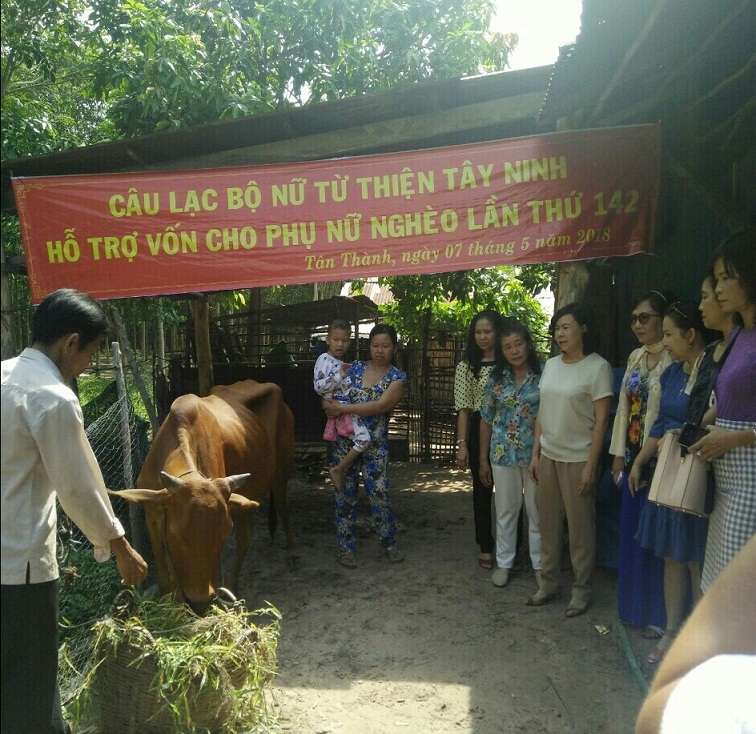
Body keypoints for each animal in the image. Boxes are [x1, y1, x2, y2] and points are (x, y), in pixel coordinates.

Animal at [112, 380, 296, 616]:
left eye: (223, 534)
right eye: (176, 535)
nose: (200, 602)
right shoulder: (151, 515)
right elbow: (164, 576)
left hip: (282, 469)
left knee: (280, 509)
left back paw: (288, 552)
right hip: (245, 498)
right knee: (246, 535)